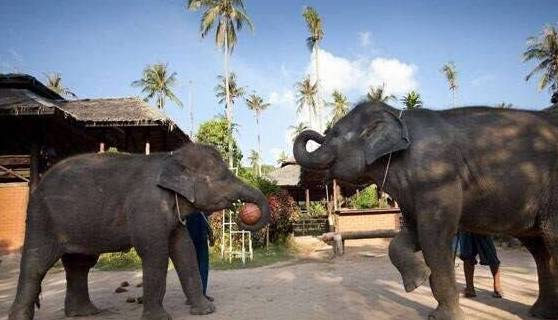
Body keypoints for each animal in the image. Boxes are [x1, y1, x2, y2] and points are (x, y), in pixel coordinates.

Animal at [8, 142, 272, 320]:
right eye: (222, 178)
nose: (244, 214)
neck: (169, 157)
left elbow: (184, 250)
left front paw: (206, 311)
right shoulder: (148, 206)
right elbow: (155, 253)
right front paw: (161, 318)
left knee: (80, 264)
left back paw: (86, 313)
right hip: (42, 218)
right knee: (36, 264)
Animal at [294, 101, 558, 318]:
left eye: (334, 134)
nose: (313, 133)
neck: (398, 116)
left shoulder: (437, 178)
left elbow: (434, 238)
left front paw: (443, 315)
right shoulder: (412, 193)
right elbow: (410, 236)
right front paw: (417, 281)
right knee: (539, 248)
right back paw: (541, 312)